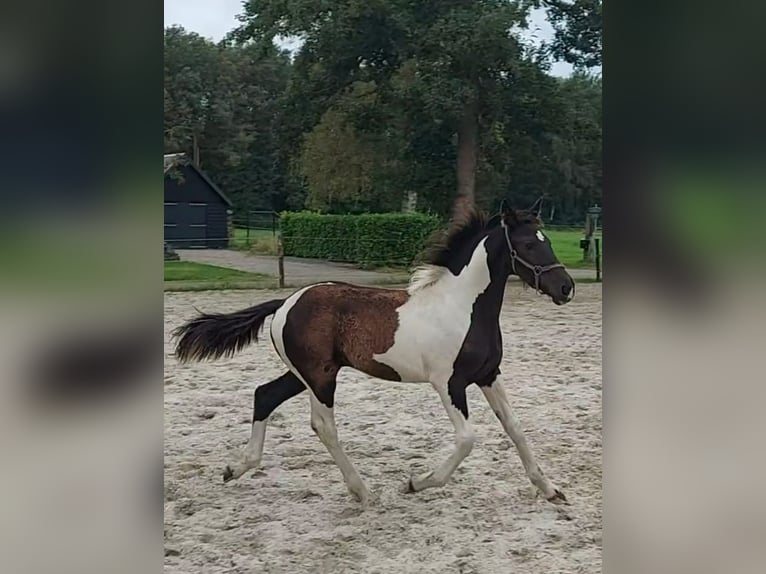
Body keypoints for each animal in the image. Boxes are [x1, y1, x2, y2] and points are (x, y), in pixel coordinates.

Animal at [176, 204, 576, 508]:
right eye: (527, 244)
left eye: (547, 240)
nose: (566, 288)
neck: (463, 307)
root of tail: (286, 301)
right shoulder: (448, 383)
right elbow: (467, 439)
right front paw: (416, 483)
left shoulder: (489, 375)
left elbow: (515, 428)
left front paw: (551, 490)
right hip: (320, 377)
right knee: (322, 425)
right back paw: (363, 492)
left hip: (303, 374)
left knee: (264, 395)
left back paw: (236, 468)